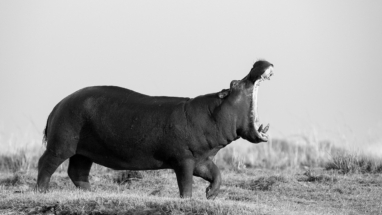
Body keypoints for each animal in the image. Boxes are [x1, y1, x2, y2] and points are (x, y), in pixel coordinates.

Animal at [36, 59, 274, 199]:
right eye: (234, 83)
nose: (257, 62)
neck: (214, 111)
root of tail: (57, 105)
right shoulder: (184, 159)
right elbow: (185, 182)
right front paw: (187, 200)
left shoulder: (201, 158)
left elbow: (216, 174)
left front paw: (210, 194)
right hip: (62, 144)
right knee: (46, 164)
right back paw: (42, 192)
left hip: (84, 151)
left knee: (77, 172)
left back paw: (91, 194)